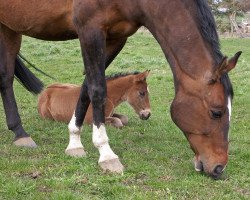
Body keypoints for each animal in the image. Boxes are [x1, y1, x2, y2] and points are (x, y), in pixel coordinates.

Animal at [0, 0, 242, 178]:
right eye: (216, 112)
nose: (219, 168)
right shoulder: (90, 30)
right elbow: (97, 90)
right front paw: (106, 154)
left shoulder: (116, 37)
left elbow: (86, 87)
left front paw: (75, 142)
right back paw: (20, 133)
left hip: (9, 28)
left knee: (6, 77)